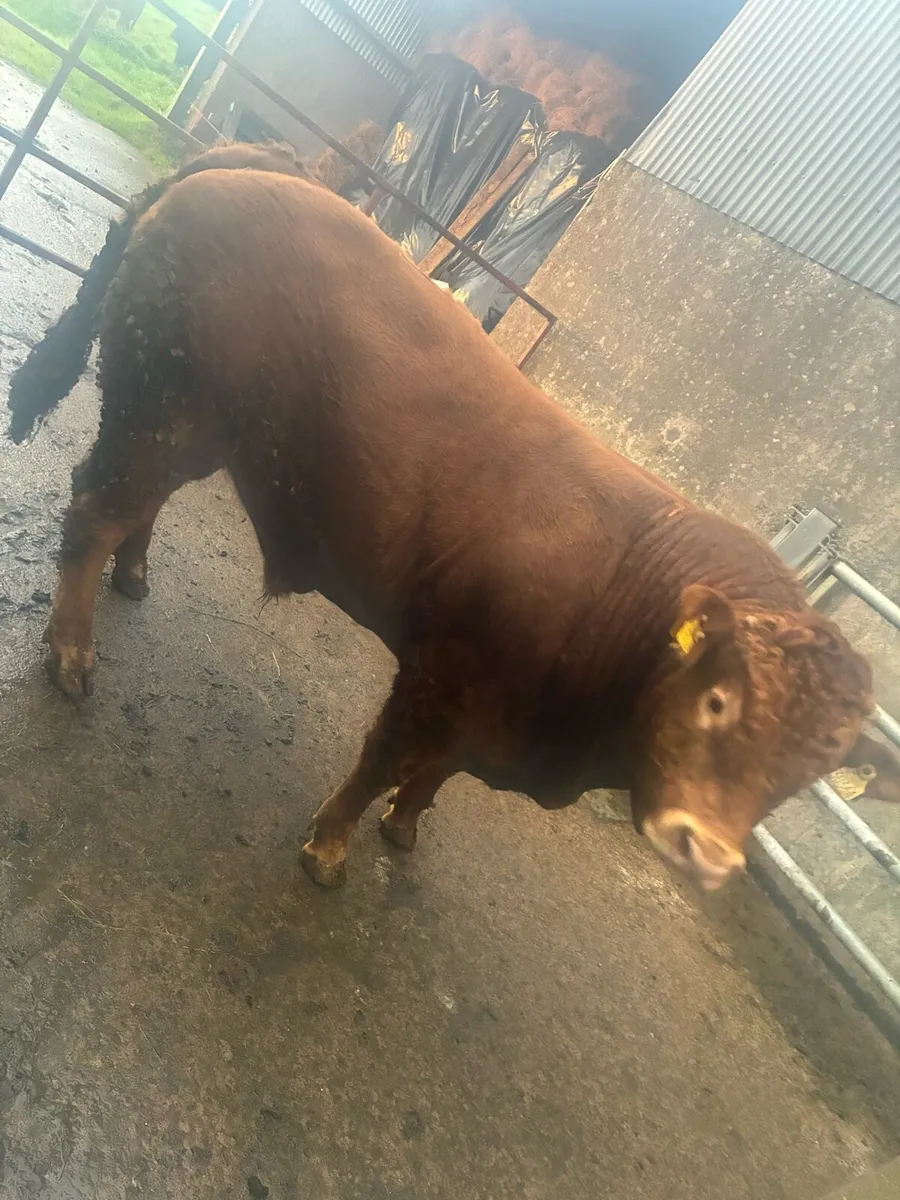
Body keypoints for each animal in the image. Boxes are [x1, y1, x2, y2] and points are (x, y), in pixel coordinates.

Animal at [5, 144, 886, 894]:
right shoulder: (440, 676)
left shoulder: (491, 711)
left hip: (190, 426)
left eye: (811, 769)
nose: (709, 854)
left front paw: (404, 828)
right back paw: (72, 656)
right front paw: (329, 849)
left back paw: (134, 576)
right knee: (95, 513)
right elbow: (385, 761)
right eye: (718, 701)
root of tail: (243, 163)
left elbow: (436, 774)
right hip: (161, 407)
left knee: (138, 507)